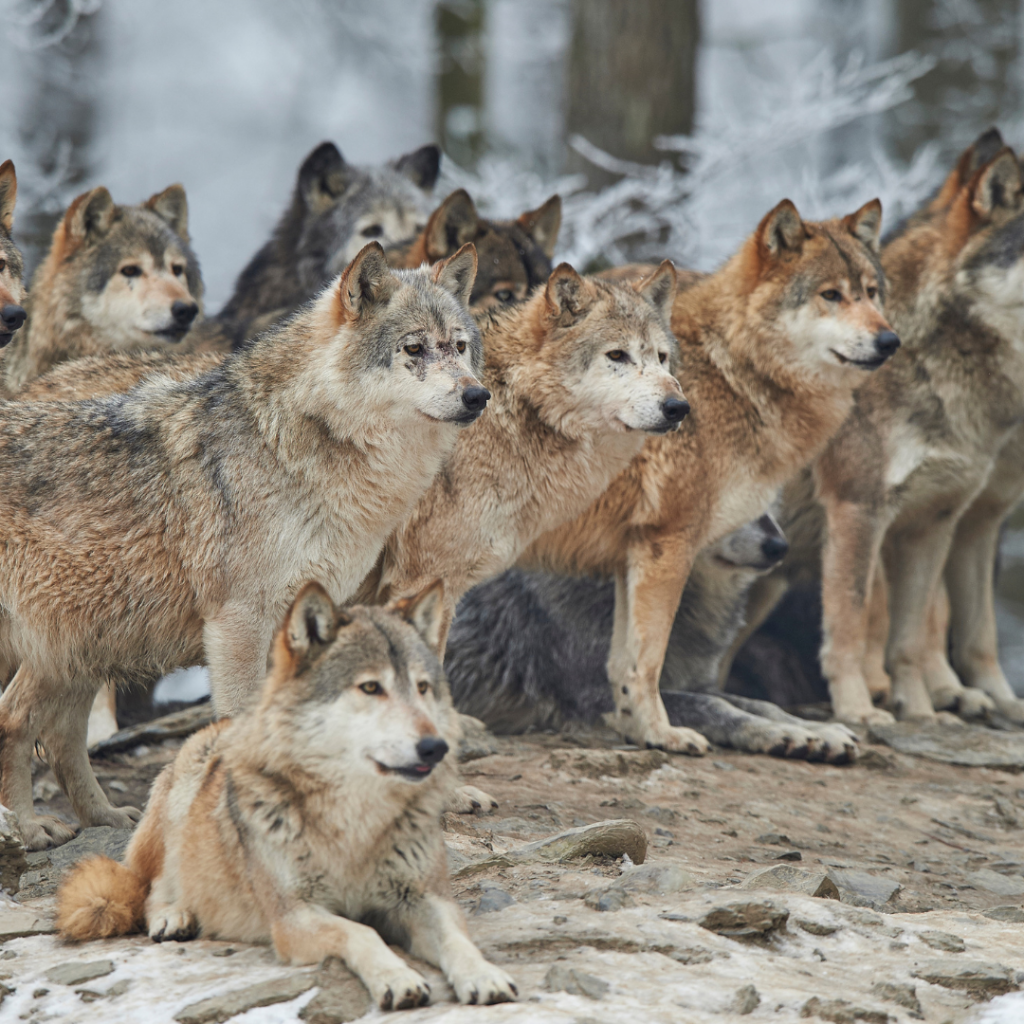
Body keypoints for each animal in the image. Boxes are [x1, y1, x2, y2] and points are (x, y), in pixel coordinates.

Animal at [0, 239, 487, 847]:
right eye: (414, 349)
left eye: (460, 347)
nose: (478, 395)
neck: (297, 443)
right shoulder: (239, 623)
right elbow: (239, 725)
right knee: (15, 720)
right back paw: (27, 828)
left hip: (84, 642)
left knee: (57, 732)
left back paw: (105, 818)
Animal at [55, 581, 516, 1011]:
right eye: (371, 688)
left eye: (422, 687)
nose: (435, 747)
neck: (355, 822)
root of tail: (218, 726)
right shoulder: (294, 916)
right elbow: (363, 932)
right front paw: (398, 980)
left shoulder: (424, 899)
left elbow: (456, 939)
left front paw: (484, 976)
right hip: (179, 803)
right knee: (148, 887)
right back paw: (173, 915)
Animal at [509, 199, 897, 757]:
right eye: (831, 295)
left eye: (870, 291)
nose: (890, 340)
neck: (734, 373)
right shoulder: (668, 542)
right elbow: (649, 662)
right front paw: (662, 733)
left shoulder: (635, 551)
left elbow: (629, 666)